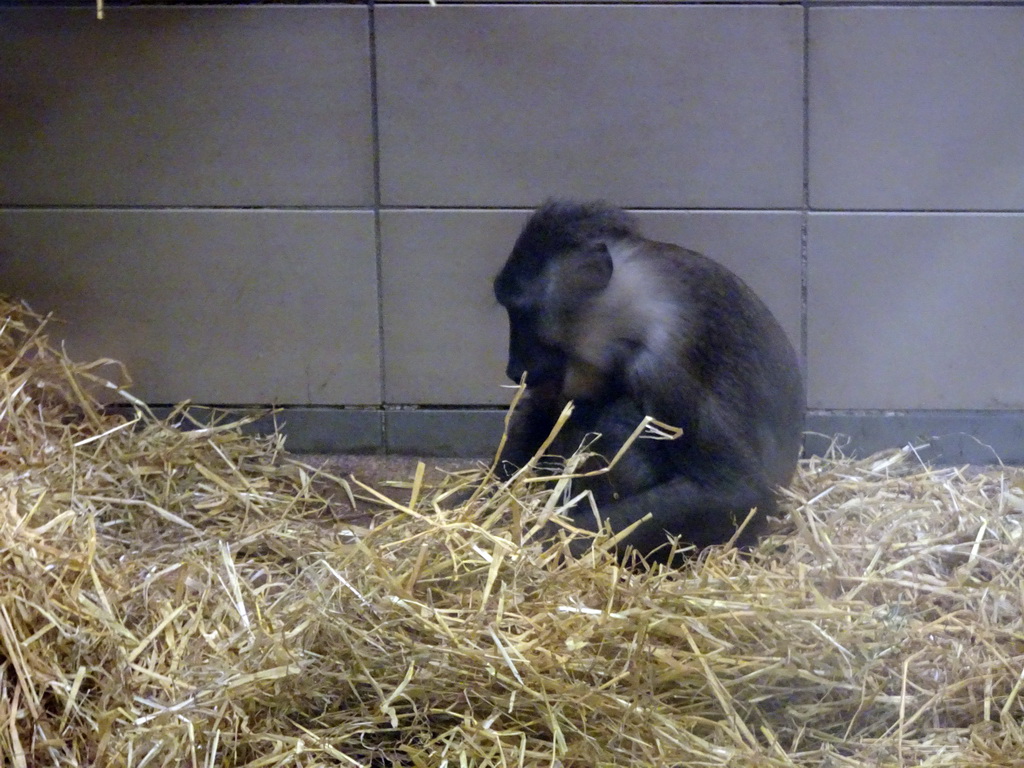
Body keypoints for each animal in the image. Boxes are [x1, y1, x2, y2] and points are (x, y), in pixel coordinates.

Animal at [491, 201, 802, 565]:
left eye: (521, 312)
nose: (514, 368)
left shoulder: (668, 366)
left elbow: (739, 493)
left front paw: (550, 539)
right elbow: (544, 413)